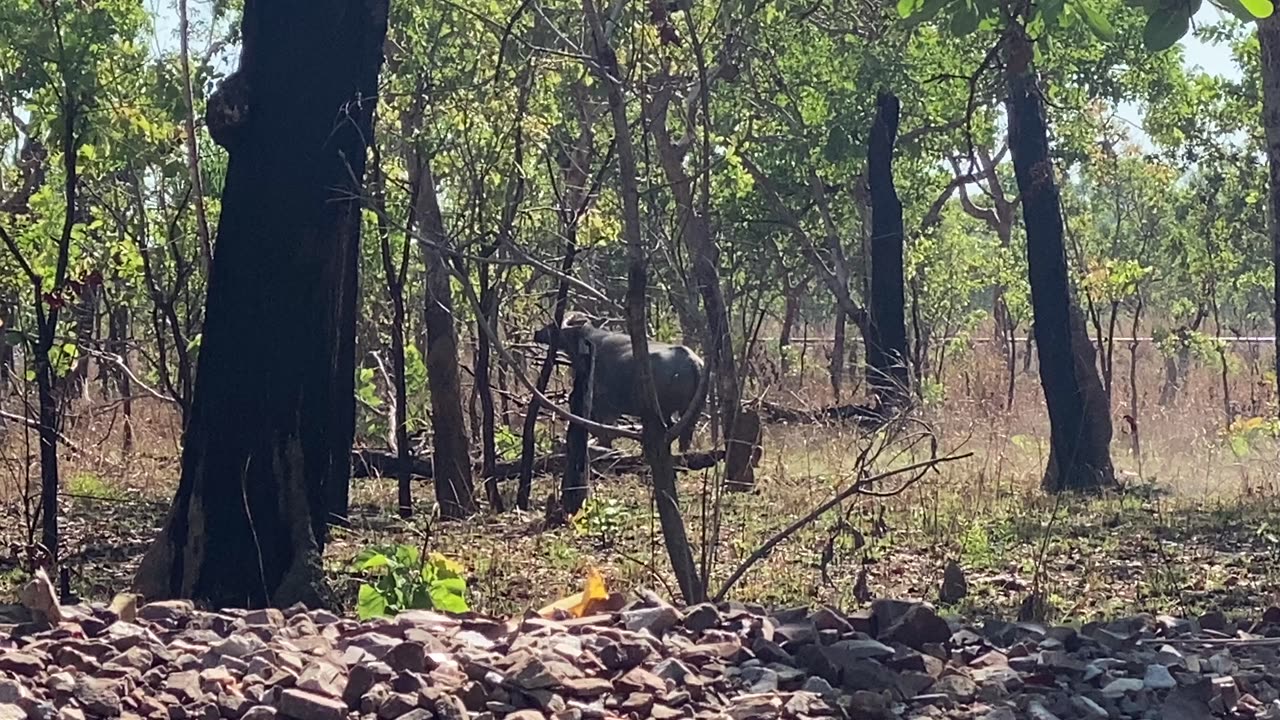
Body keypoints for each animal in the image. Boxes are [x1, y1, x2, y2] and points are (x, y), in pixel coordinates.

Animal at [532, 312, 711, 448]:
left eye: (554, 325)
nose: (537, 333)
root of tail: (693, 361)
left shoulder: (605, 408)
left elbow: (604, 434)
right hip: (689, 412)